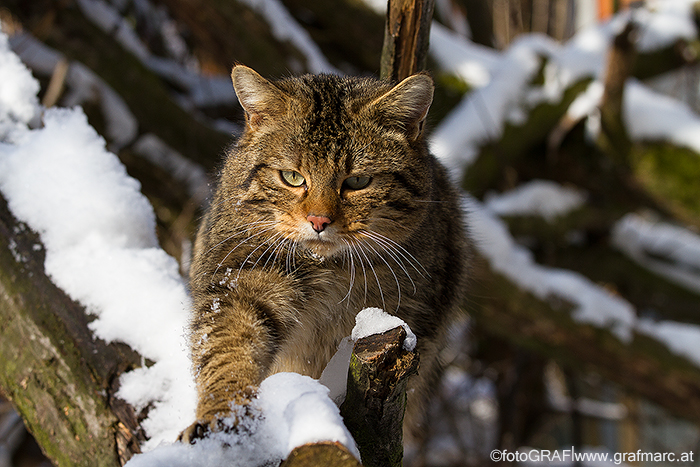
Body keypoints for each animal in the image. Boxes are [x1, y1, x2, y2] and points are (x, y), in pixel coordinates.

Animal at [180, 65, 470, 442]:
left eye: (358, 181)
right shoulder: (241, 277)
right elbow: (227, 347)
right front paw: (222, 415)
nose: (319, 220)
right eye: (292, 176)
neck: (333, 272)